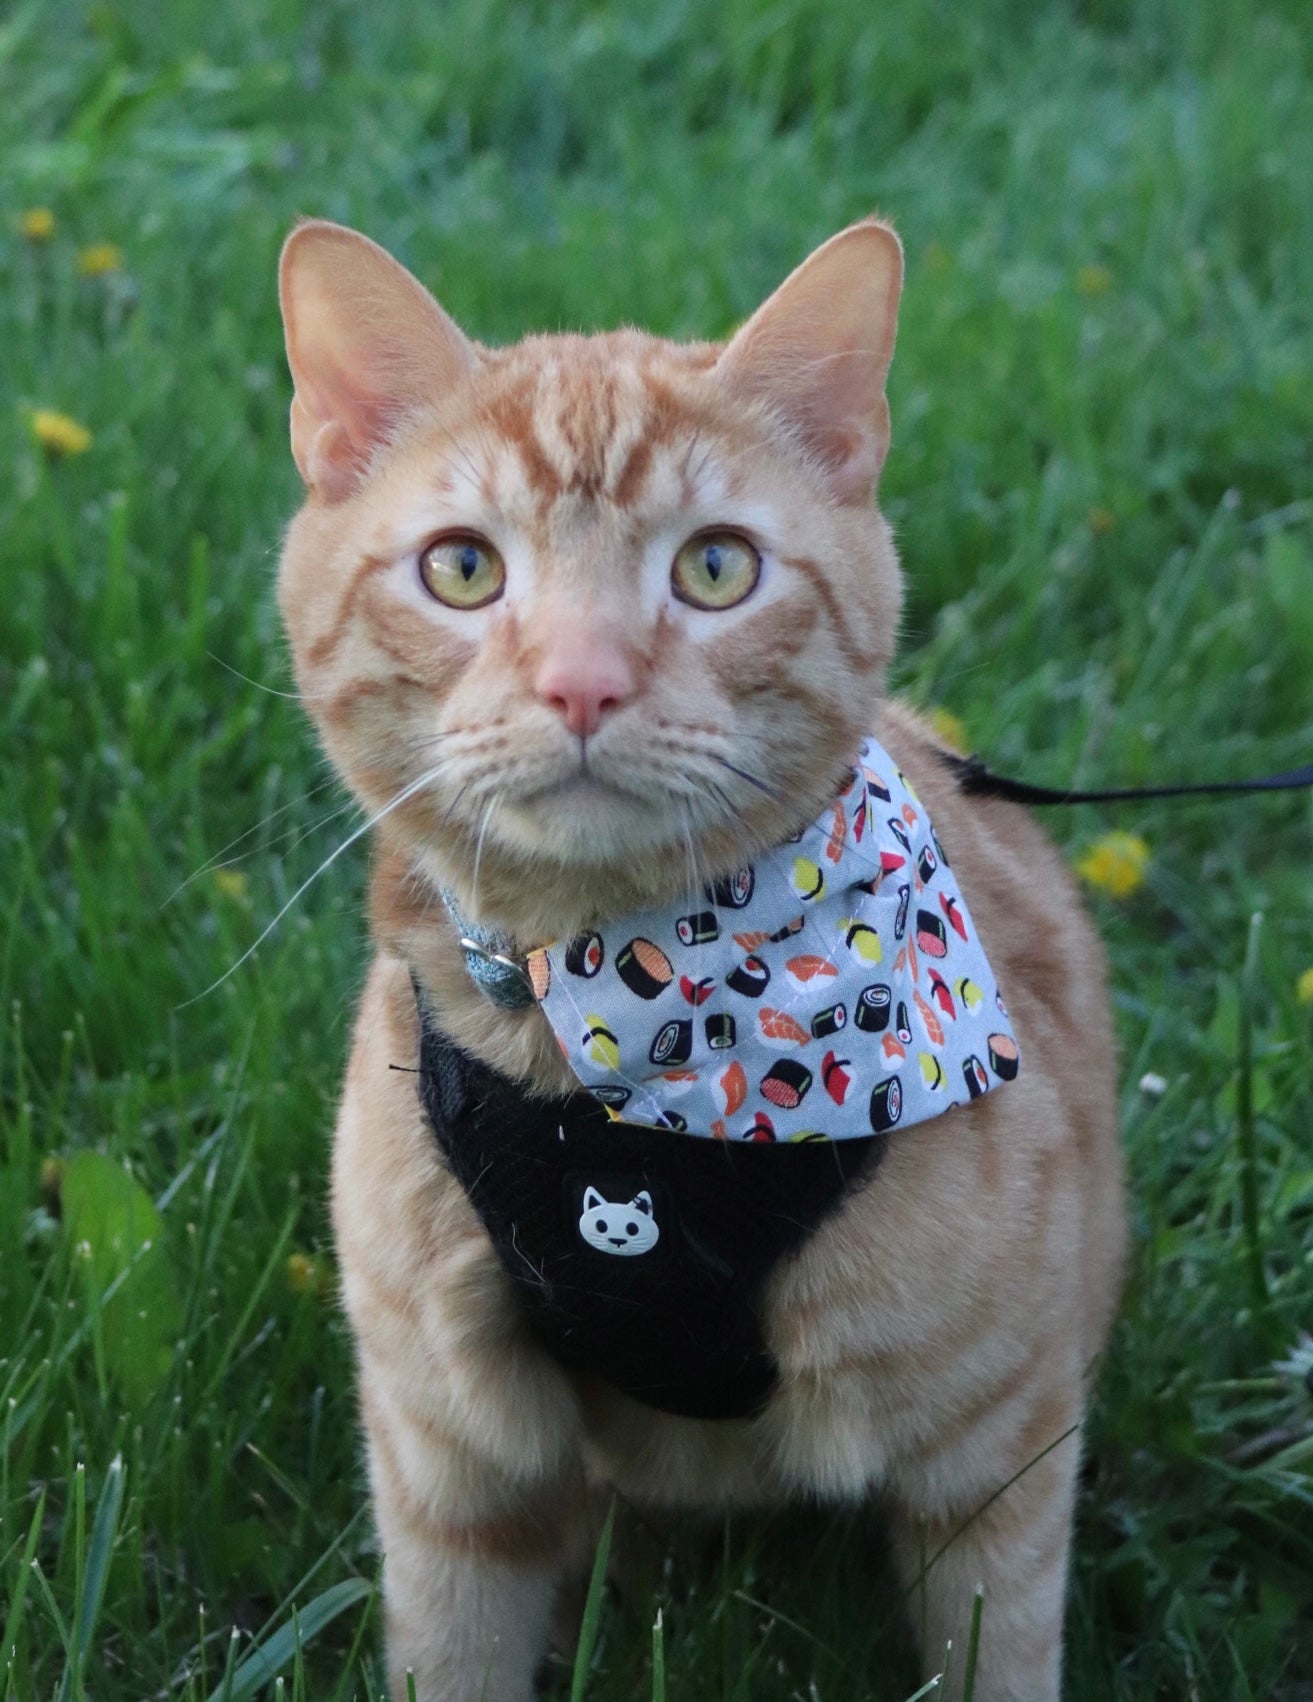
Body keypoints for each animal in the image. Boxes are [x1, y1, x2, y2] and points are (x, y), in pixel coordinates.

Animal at [274, 219, 1117, 1695]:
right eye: (462, 568)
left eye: (714, 568)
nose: (582, 681)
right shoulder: (449, 1456)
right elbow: (450, 1651)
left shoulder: (998, 1442)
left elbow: (998, 1652)